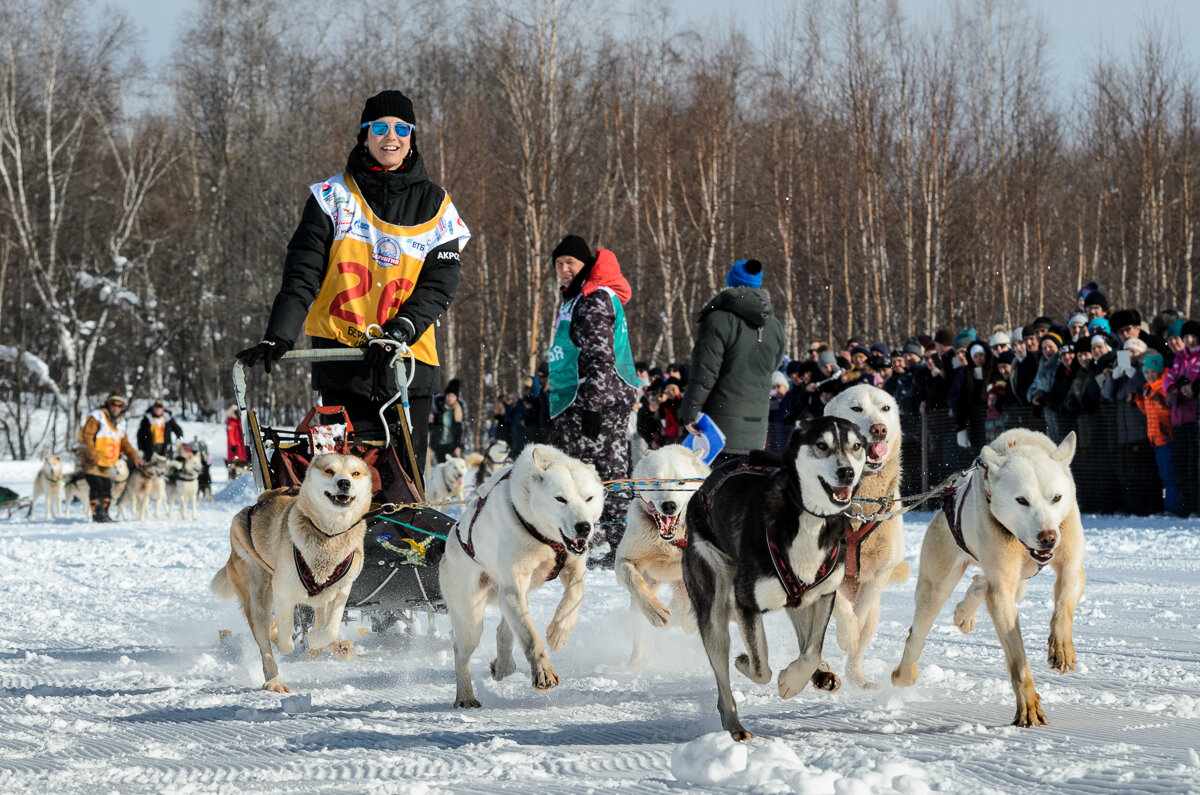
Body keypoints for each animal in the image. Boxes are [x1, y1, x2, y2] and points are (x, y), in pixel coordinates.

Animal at [210, 453, 369, 696]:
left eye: (356, 473)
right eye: (329, 471)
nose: (345, 483)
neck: (328, 536)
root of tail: (255, 504)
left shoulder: (342, 590)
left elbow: (330, 628)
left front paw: (319, 639)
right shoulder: (283, 593)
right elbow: (285, 639)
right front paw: (286, 641)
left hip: (320, 600)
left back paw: (334, 645)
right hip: (257, 594)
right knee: (266, 639)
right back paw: (274, 680)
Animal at [441, 444, 604, 710]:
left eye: (589, 498)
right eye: (561, 499)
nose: (584, 527)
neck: (545, 537)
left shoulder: (573, 567)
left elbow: (576, 594)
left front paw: (559, 631)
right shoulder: (513, 587)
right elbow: (530, 637)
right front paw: (543, 672)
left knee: (504, 631)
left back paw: (503, 665)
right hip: (471, 616)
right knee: (462, 653)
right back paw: (465, 696)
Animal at [614, 444, 705, 662]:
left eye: (681, 481)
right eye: (655, 481)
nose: (669, 505)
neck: (671, 541)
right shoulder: (626, 559)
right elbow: (633, 578)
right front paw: (656, 611)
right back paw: (636, 662)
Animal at [681, 417, 868, 739]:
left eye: (856, 446)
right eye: (822, 445)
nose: (847, 472)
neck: (809, 518)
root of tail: (703, 488)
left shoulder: (824, 595)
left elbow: (812, 649)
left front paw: (797, 679)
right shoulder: (747, 604)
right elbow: (761, 667)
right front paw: (747, 662)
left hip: (799, 597)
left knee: (806, 640)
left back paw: (821, 673)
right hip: (715, 606)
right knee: (723, 680)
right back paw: (734, 725)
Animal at [892, 429, 1089, 730]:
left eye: (1056, 498)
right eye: (1022, 500)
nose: (1048, 538)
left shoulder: (1070, 564)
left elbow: (1063, 608)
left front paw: (1062, 650)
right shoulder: (1002, 591)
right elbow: (1017, 658)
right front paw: (1028, 707)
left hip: (1018, 580)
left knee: (981, 584)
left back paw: (966, 609)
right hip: (936, 587)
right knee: (917, 633)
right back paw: (904, 673)